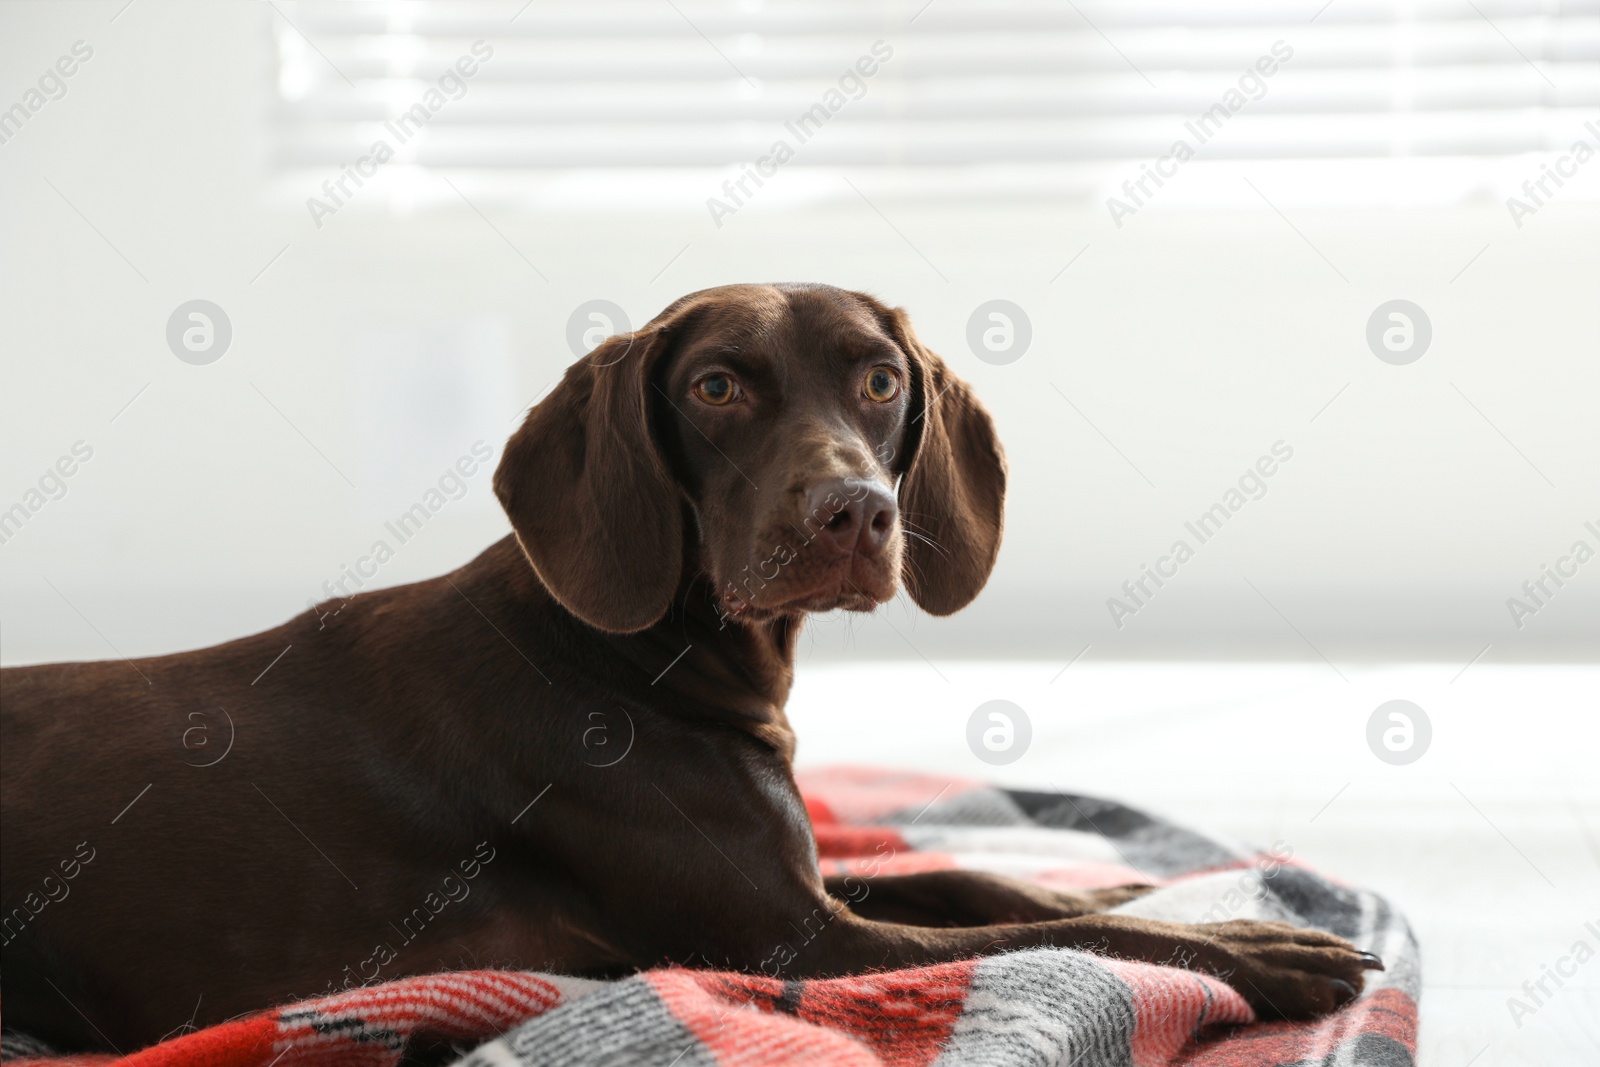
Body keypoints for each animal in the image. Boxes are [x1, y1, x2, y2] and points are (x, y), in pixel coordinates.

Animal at [0, 283, 1376, 1049]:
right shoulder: (793, 943)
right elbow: (1050, 936)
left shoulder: (806, 886)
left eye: (881, 379)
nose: (856, 511)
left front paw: (1146, 887)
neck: (637, 659)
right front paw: (1263, 950)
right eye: (716, 386)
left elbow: (979, 877)